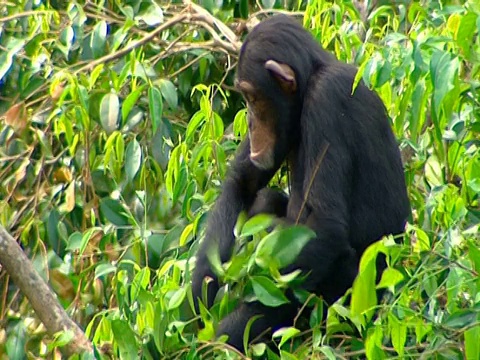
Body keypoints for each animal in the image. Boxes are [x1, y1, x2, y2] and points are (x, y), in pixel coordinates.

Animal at [190, 14, 408, 352]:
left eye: (252, 97)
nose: (248, 121)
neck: (310, 82)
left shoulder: (327, 100)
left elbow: (325, 228)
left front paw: (220, 338)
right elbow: (243, 182)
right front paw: (199, 302)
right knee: (264, 200)